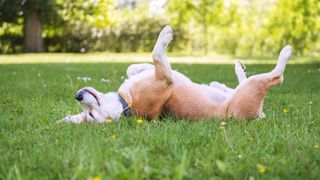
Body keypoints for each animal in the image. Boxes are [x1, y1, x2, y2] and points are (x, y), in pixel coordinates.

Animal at [60, 25, 292, 123]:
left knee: (235, 83)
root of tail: (257, 116)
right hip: (253, 87)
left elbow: (133, 67)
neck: (125, 102)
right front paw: (165, 35)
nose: (77, 96)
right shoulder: (165, 78)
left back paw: (230, 75)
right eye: (90, 115)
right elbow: (156, 54)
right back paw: (286, 52)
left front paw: (138, 66)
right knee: (276, 77)